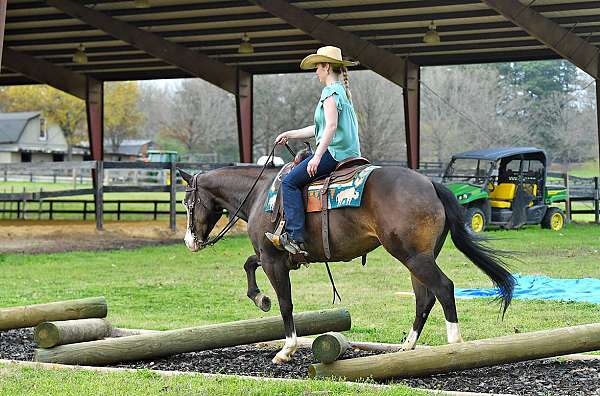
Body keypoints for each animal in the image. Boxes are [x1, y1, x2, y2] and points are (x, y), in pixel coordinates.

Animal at [178, 166, 516, 364]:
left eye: (187, 202)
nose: (189, 241)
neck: (262, 195)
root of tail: (431, 184)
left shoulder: (273, 260)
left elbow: (286, 304)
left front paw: (286, 348)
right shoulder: (274, 256)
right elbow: (249, 265)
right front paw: (260, 298)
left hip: (413, 257)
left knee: (444, 289)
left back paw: (454, 345)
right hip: (418, 258)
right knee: (425, 298)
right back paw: (406, 348)